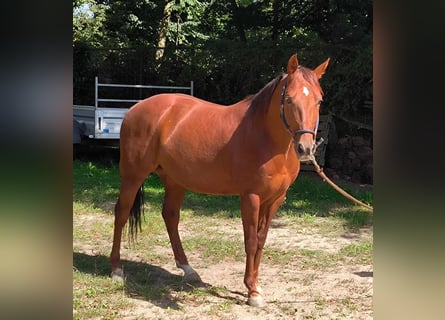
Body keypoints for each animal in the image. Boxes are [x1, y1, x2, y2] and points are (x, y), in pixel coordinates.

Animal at [109, 53, 328, 306]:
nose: (305, 148)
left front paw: (255, 286)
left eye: (319, 101)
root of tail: (135, 108)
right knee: (122, 213)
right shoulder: (251, 196)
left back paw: (188, 269)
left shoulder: (275, 199)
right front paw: (251, 291)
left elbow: (261, 240)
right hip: (133, 176)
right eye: (290, 100)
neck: (266, 139)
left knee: (170, 216)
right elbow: (251, 241)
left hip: (174, 180)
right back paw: (116, 269)